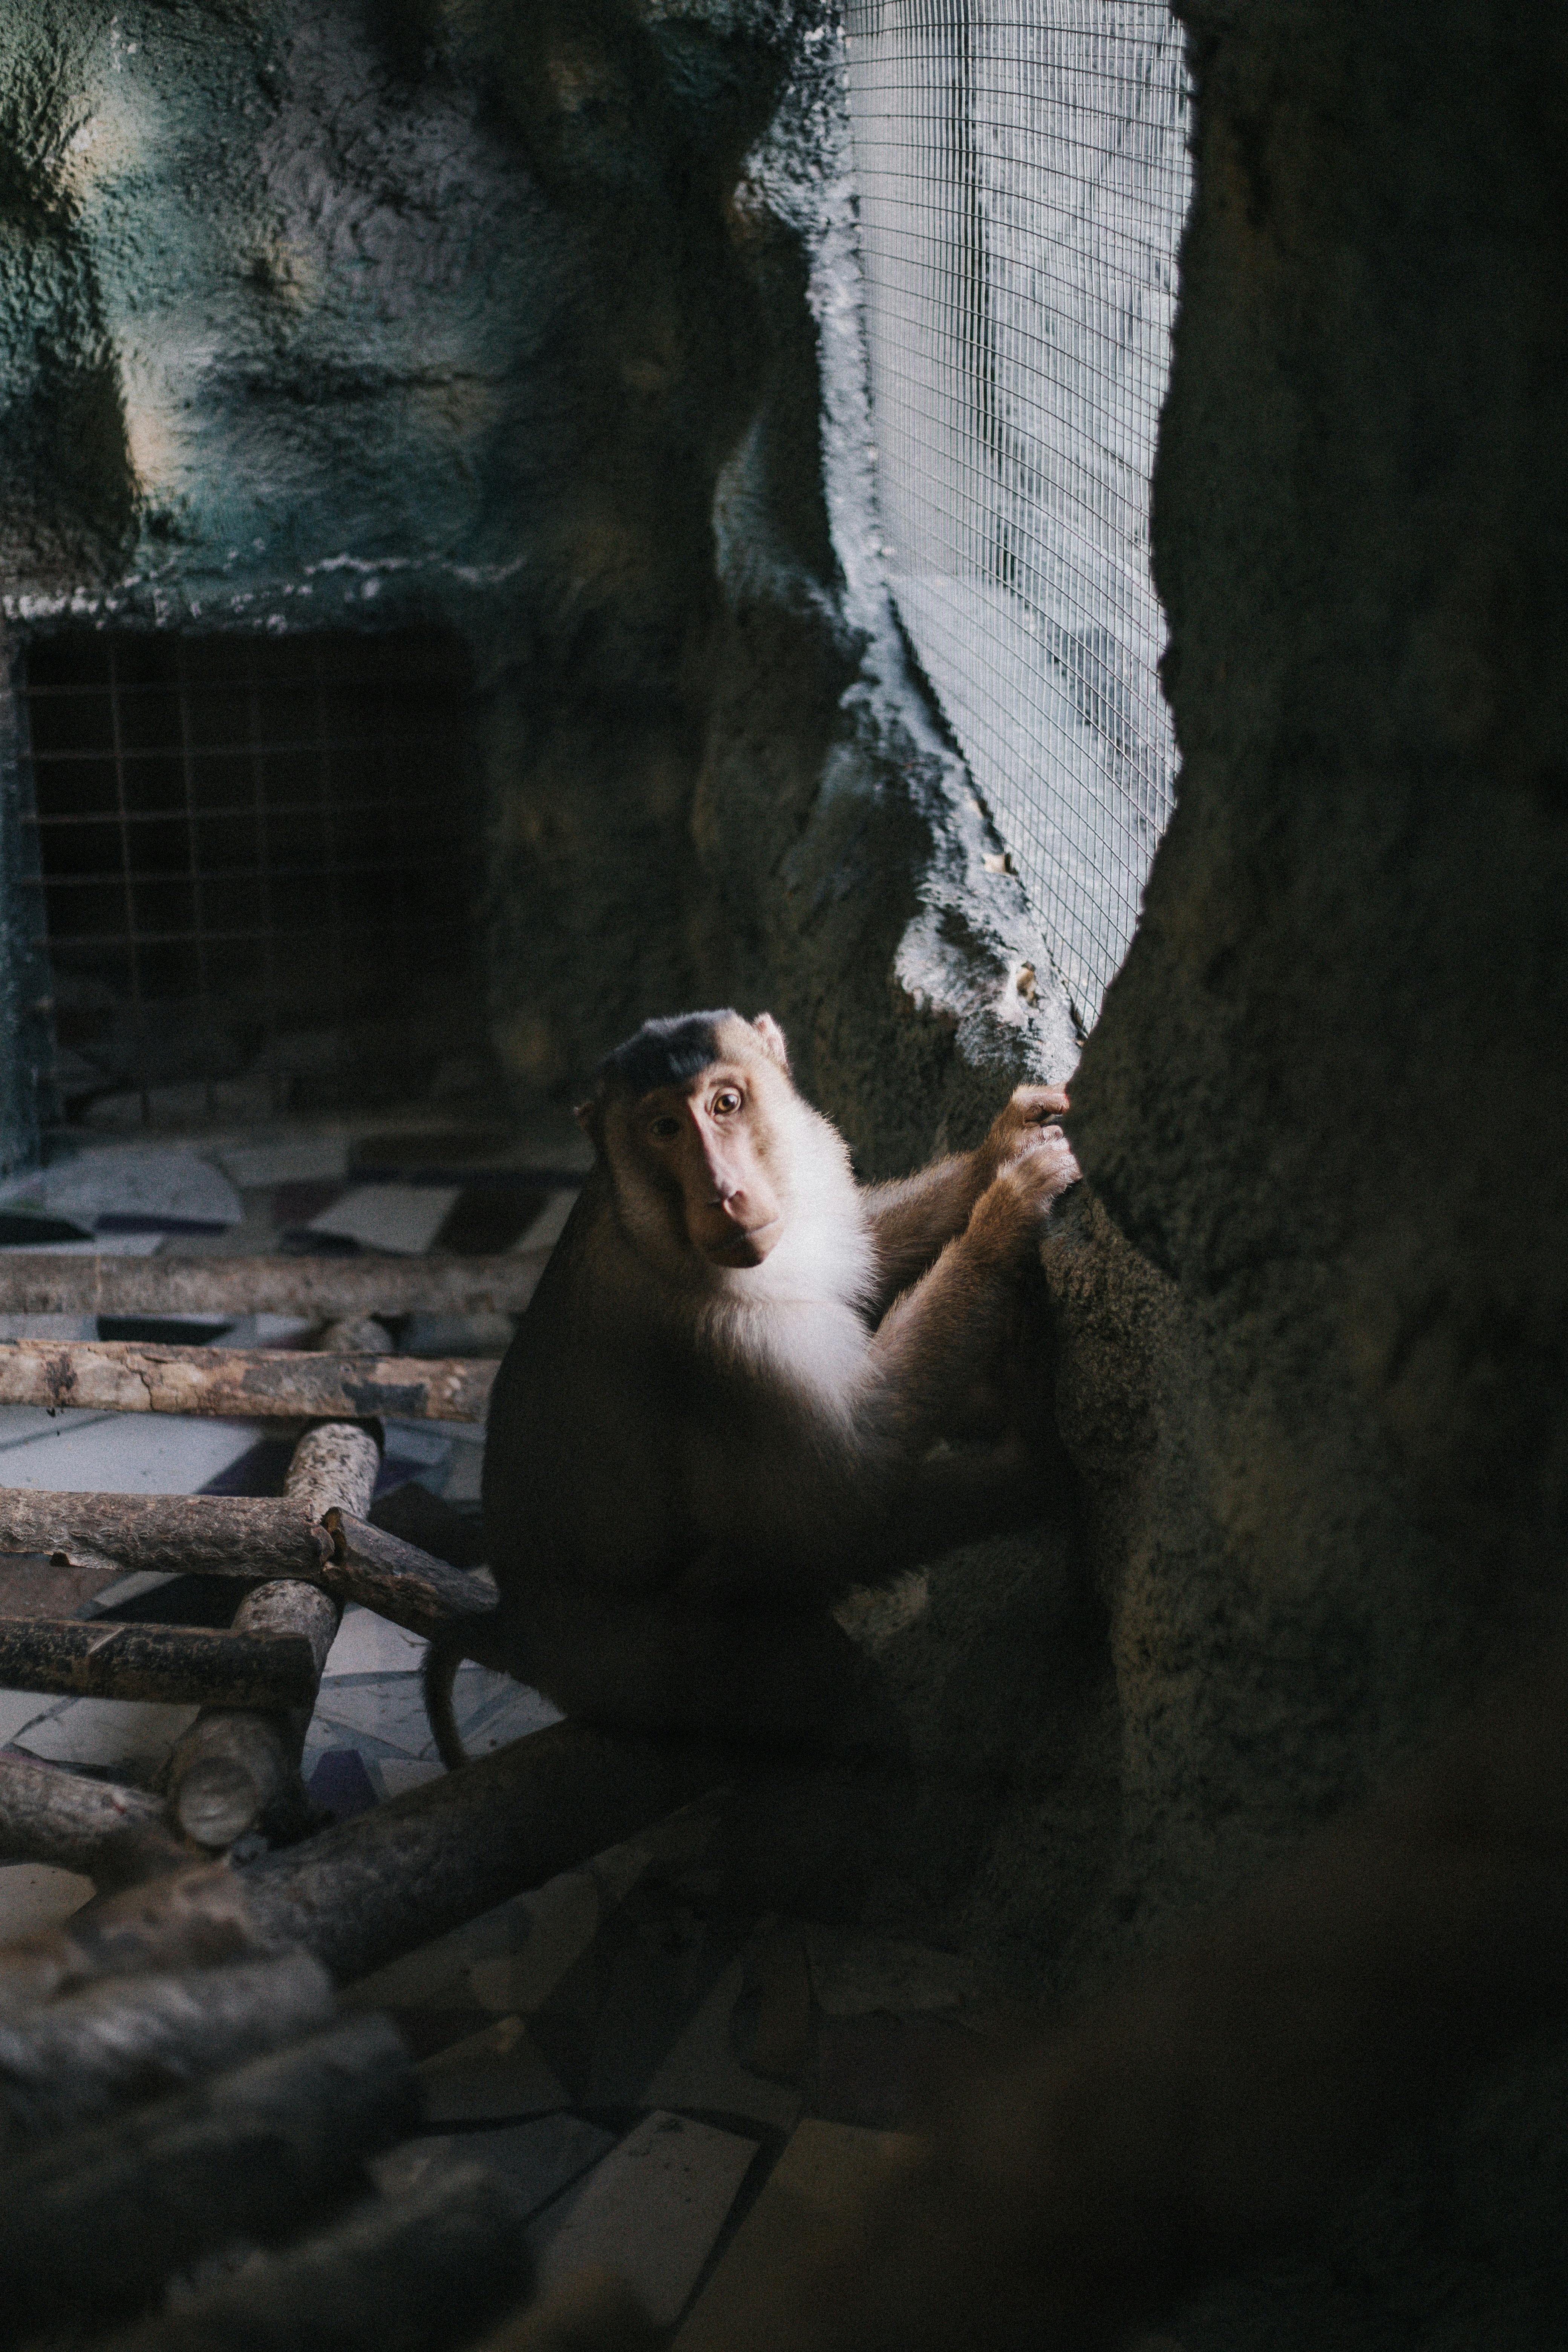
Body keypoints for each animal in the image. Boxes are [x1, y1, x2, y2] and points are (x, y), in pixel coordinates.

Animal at [425, 1007, 1079, 1764]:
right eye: (664, 1129)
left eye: (725, 1104)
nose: (723, 1192)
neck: (656, 1234)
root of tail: (519, 1630)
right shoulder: (732, 1341)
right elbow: (845, 1482)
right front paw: (1007, 1210)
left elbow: (863, 1253)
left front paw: (999, 1147)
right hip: (646, 1672)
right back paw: (1028, 1468)